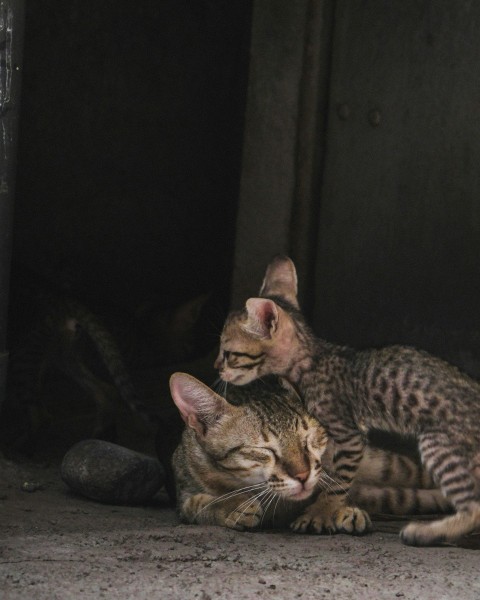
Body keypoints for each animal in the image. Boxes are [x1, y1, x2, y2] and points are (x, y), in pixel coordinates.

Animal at [170, 372, 450, 532]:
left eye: (310, 438)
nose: (303, 476)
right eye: (263, 450)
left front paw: (335, 510)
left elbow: (333, 488)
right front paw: (231, 507)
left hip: (390, 466)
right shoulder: (185, 490)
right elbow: (197, 504)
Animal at [216, 255, 480, 548]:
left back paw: (426, 532)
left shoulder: (347, 433)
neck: (313, 359)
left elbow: (338, 480)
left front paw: (320, 513)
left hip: (440, 446)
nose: (216, 368)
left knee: (474, 508)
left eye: (228, 354)